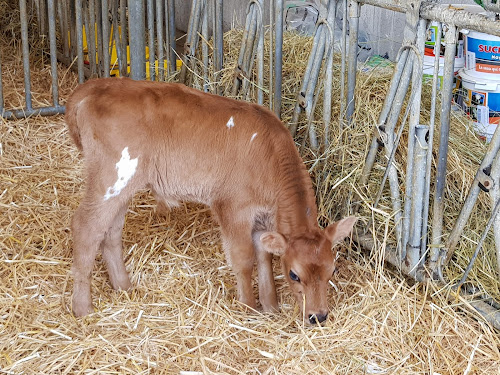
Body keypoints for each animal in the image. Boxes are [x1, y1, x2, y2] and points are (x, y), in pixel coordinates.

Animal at [65, 78, 356, 324]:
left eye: (332, 271)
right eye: (295, 274)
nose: (318, 316)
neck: (269, 156)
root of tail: (96, 85)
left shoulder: (262, 219)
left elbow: (265, 258)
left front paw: (271, 306)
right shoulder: (233, 208)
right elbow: (244, 258)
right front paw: (249, 307)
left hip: (124, 187)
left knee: (110, 231)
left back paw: (123, 287)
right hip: (109, 178)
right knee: (85, 227)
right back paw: (83, 308)